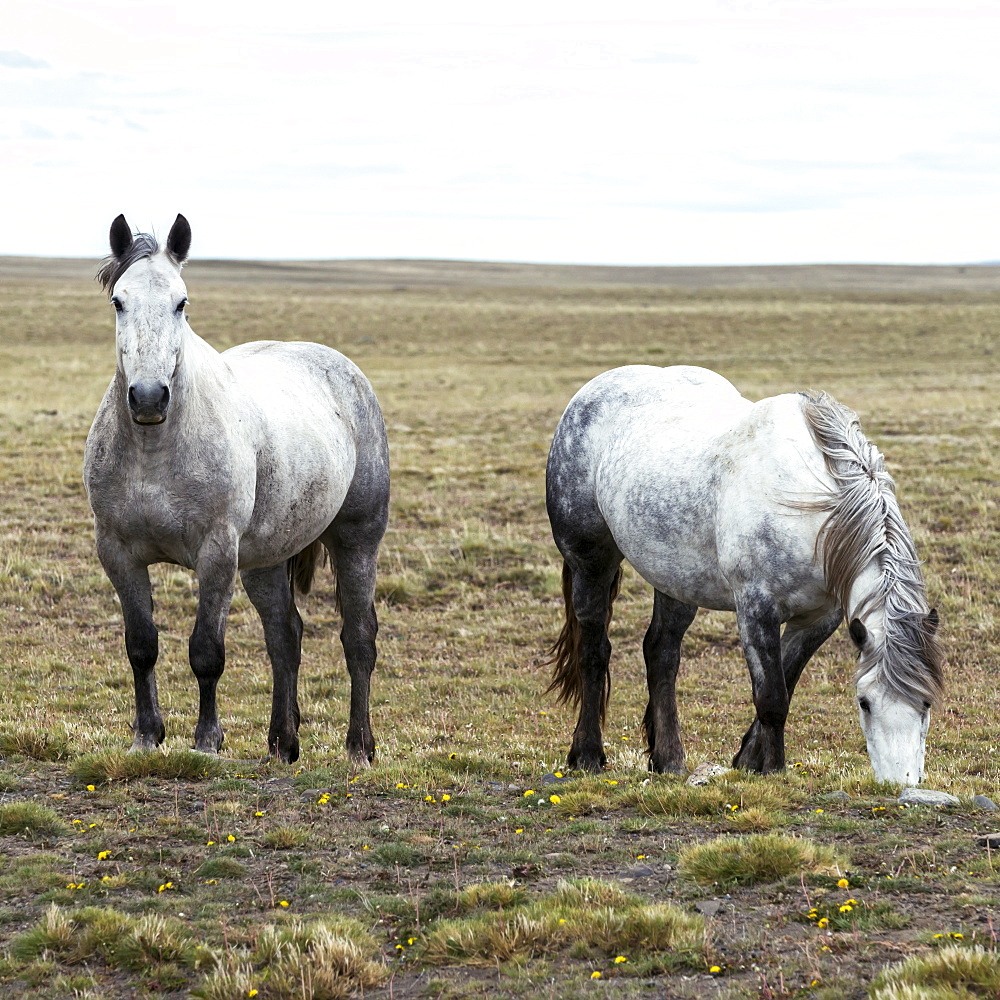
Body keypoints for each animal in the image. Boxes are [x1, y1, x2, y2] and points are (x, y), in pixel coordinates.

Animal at [84, 215, 388, 760]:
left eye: (181, 303)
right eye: (119, 301)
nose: (148, 397)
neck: (154, 449)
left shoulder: (217, 553)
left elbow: (207, 651)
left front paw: (207, 740)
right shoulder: (118, 553)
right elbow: (141, 646)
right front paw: (147, 735)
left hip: (357, 540)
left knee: (358, 637)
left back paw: (359, 746)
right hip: (265, 559)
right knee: (285, 636)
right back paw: (282, 743)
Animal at [544, 364, 940, 784]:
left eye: (927, 702)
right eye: (864, 702)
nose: (899, 783)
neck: (811, 511)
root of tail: (591, 391)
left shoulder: (818, 619)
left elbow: (787, 680)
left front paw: (750, 761)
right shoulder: (756, 609)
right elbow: (772, 697)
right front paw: (775, 771)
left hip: (676, 580)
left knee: (661, 653)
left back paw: (669, 760)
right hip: (590, 562)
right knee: (594, 650)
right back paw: (587, 755)